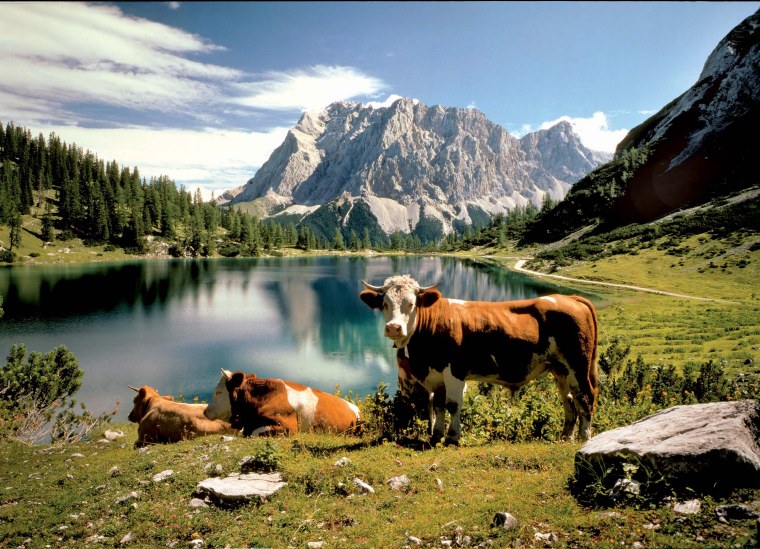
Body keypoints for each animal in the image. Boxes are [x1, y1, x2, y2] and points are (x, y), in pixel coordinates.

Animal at [360, 274, 599, 446]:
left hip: (578, 364)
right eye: (385, 304)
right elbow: (438, 405)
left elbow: (453, 404)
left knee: (585, 397)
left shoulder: (455, 371)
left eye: (411, 303)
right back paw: (565, 437)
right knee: (569, 400)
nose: (393, 328)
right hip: (560, 369)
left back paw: (584, 438)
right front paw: (436, 435)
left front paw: (452, 437)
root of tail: (570, 298)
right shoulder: (436, 375)